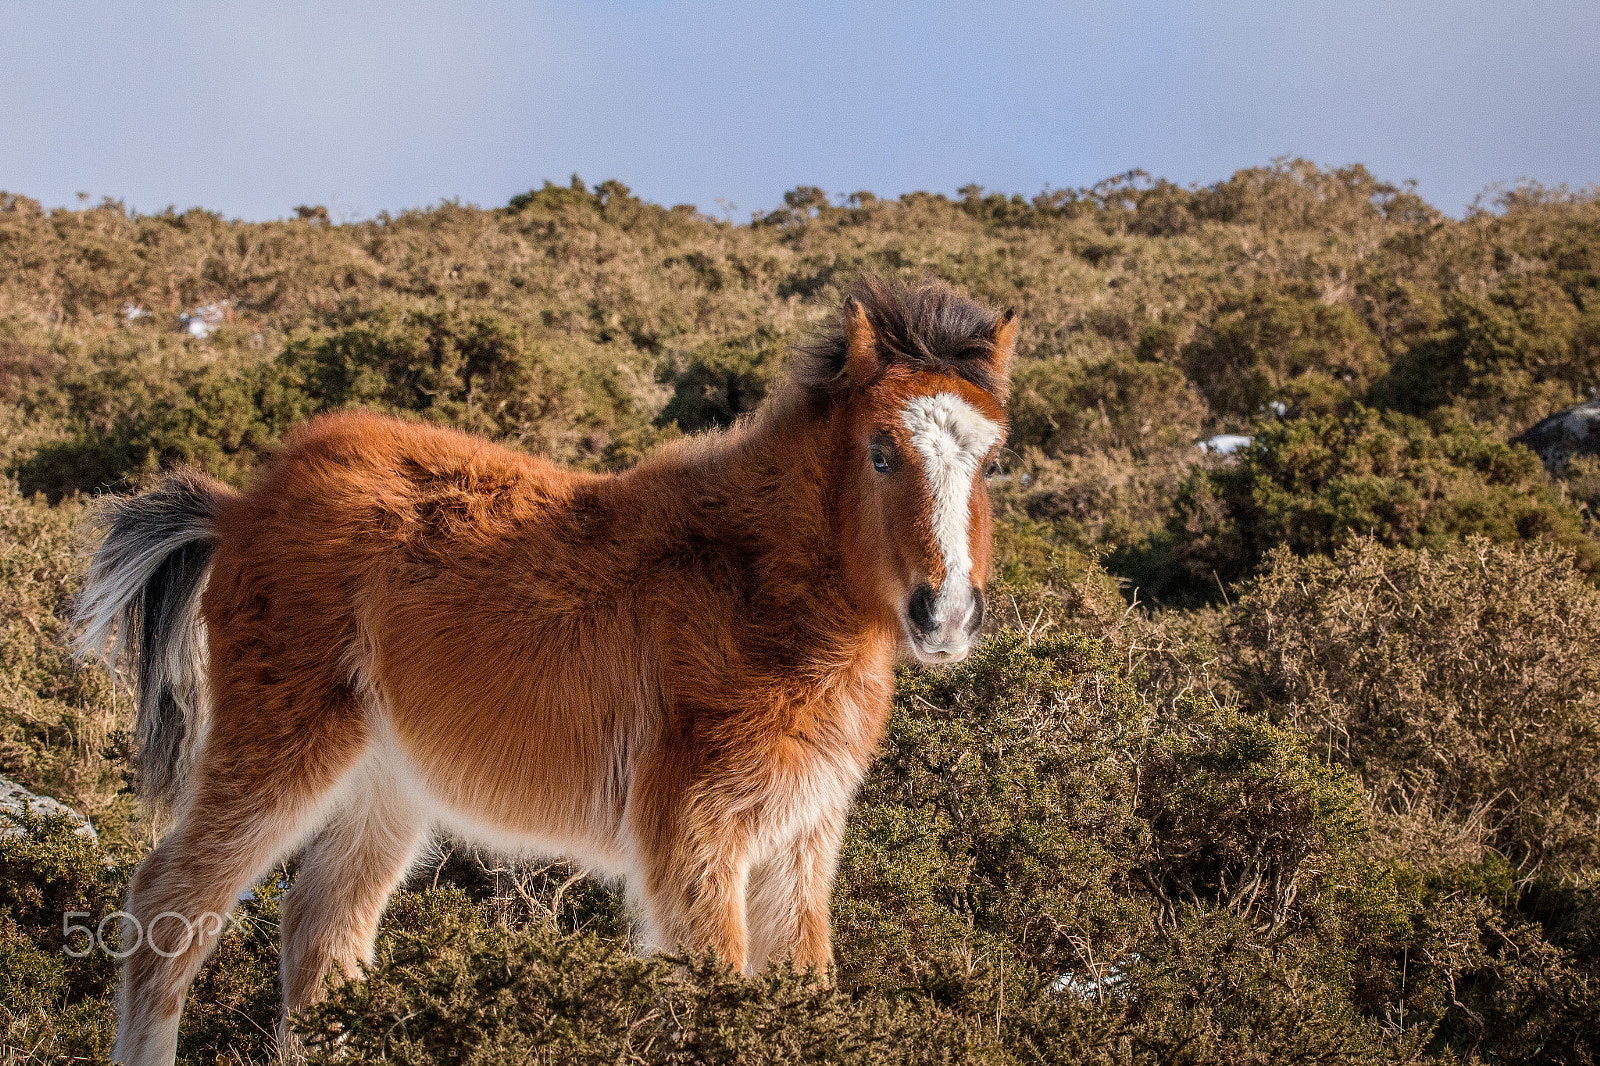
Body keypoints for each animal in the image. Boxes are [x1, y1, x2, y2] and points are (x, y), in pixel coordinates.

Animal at [74, 275, 1016, 1066]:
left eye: (993, 460)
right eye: (881, 452)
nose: (947, 614)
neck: (751, 583)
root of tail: (240, 508)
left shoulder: (800, 844)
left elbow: (805, 999)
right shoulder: (695, 836)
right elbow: (712, 1004)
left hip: (387, 786)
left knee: (321, 934)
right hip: (283, 744)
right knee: (170, 906)